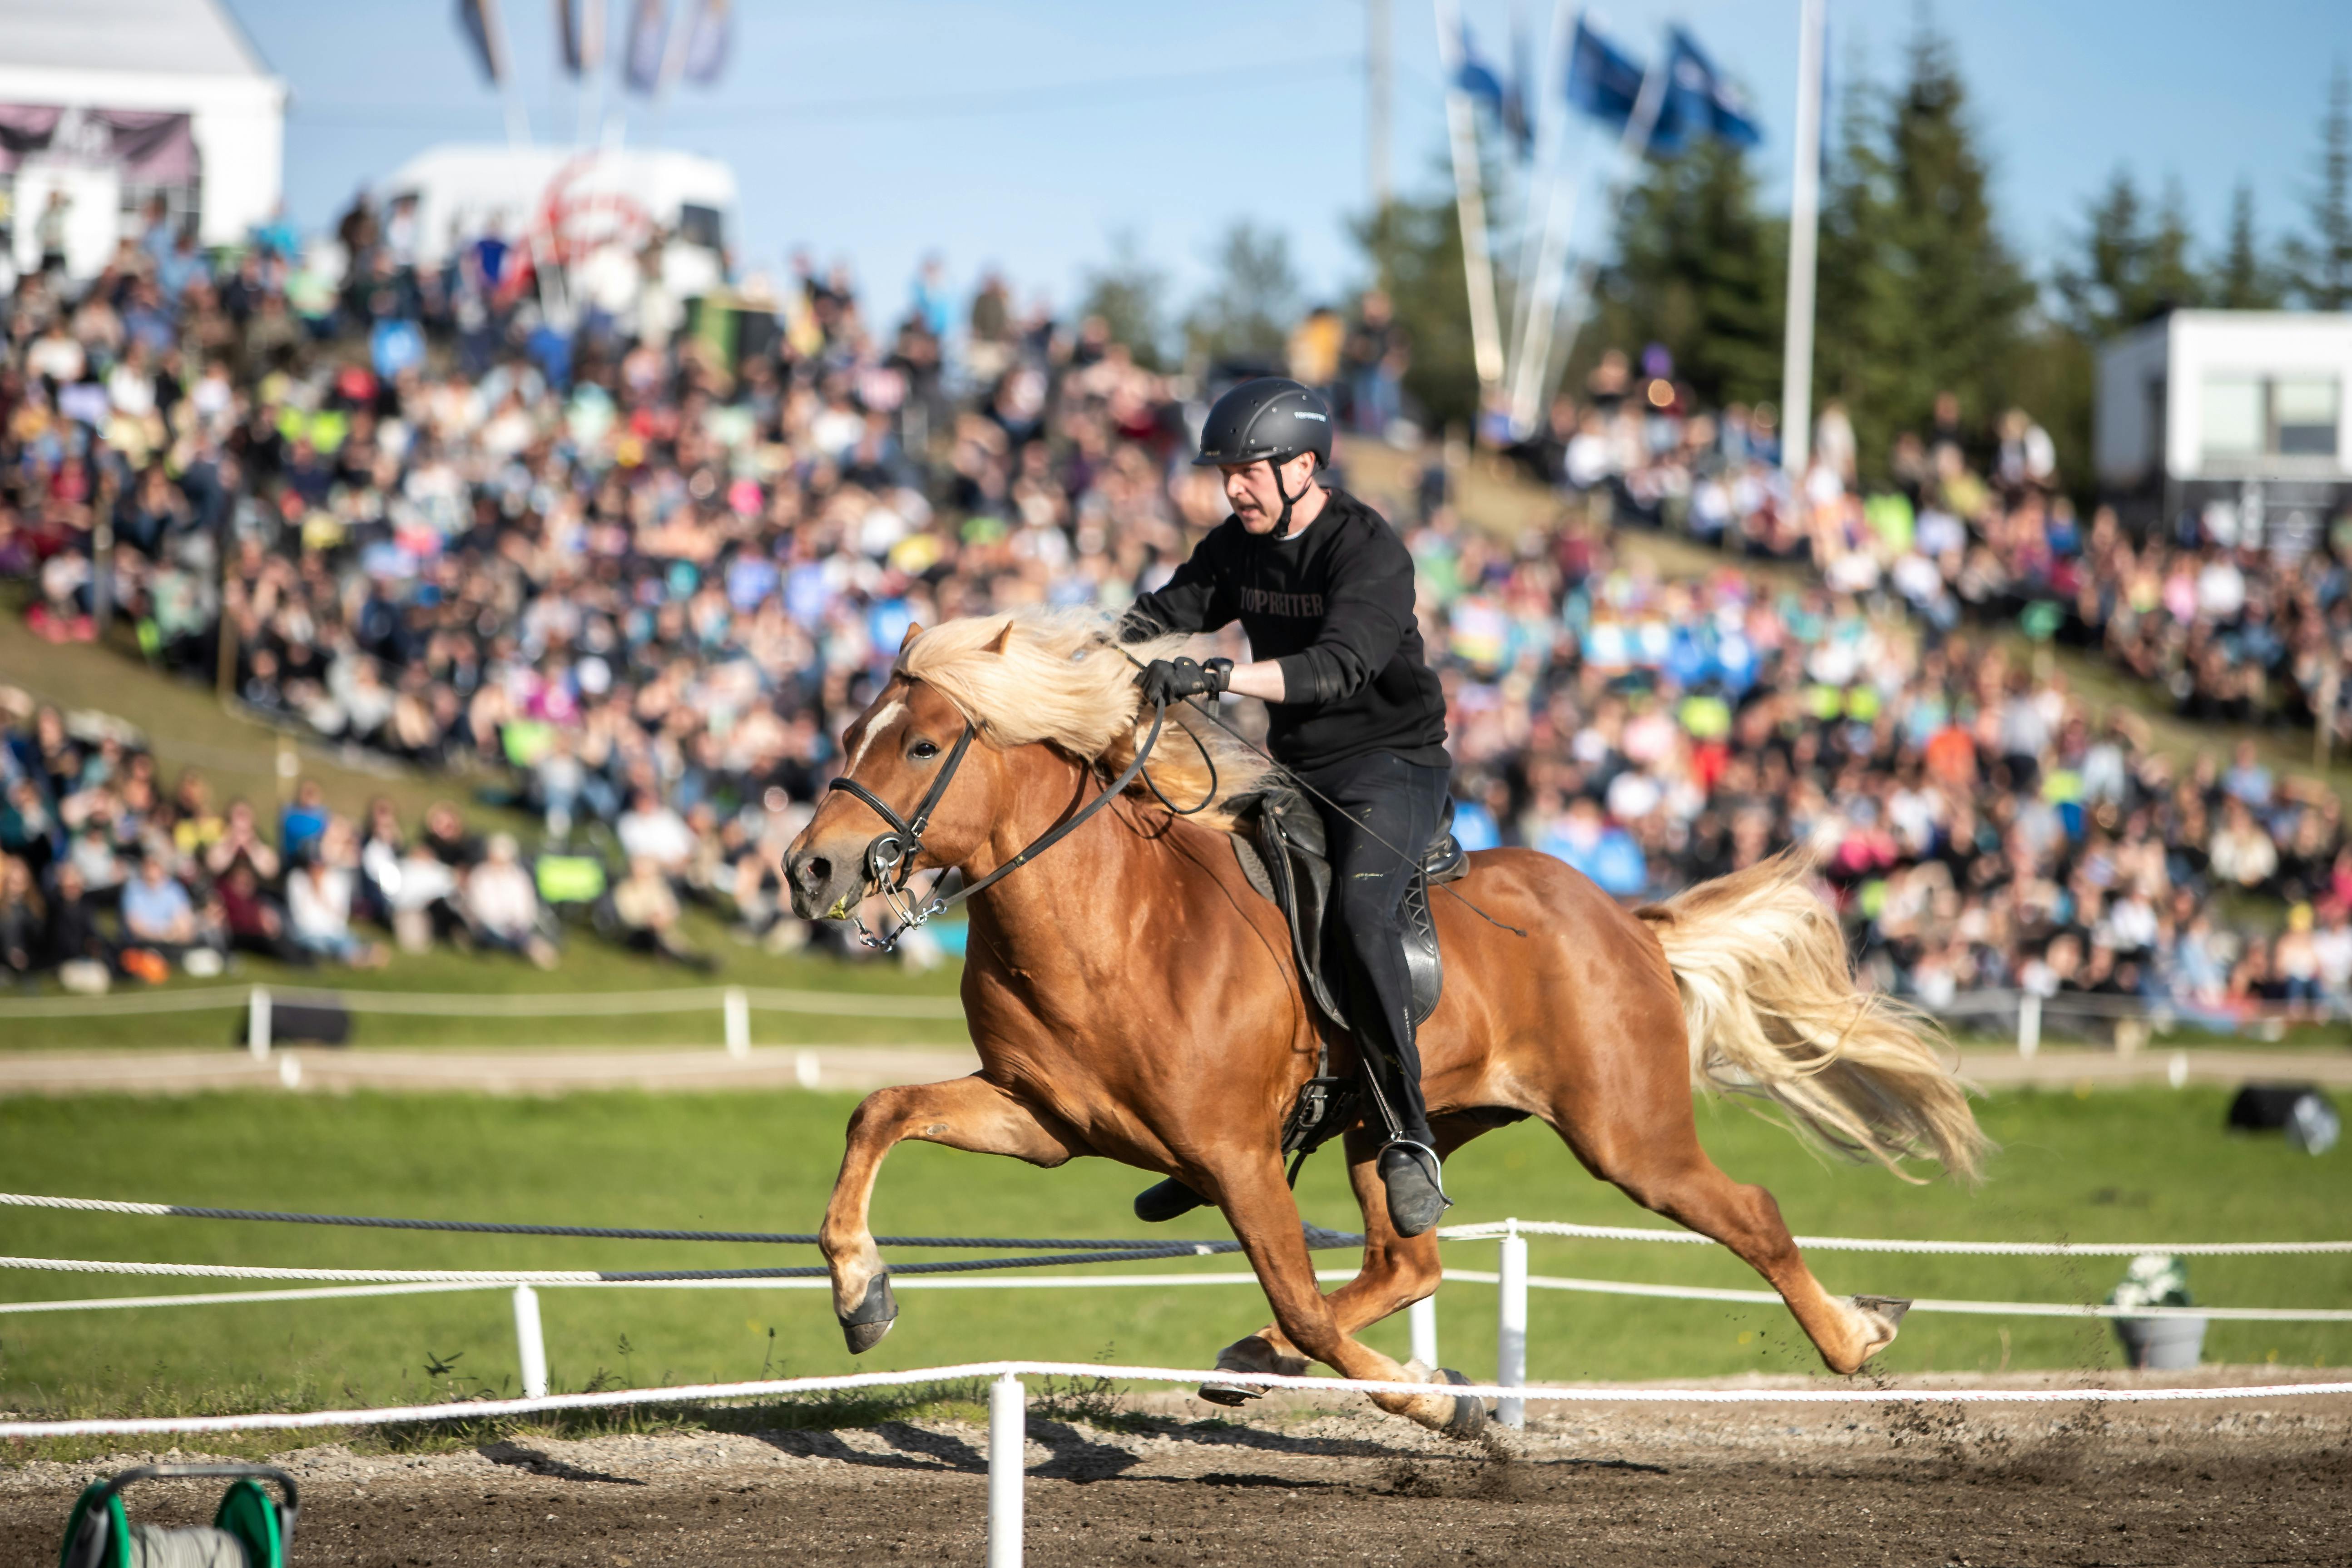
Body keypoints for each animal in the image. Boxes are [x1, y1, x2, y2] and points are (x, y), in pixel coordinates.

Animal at [790, 606, 1985, 1439]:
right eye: (851, 728)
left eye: (921, 745)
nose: (811, 868)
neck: (1109, 922)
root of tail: (1625, 921)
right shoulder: (1042, 1120)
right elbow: (876, 1112)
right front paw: (859, 1291)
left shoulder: (1235, 1156)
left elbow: (1309, 1302)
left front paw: (1435, 1401)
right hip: (1393, 1130)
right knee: (1410, 1261)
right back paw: (1257, 1354)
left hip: (1627, 1136)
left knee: (1751, 1213)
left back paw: (1855, 1336)